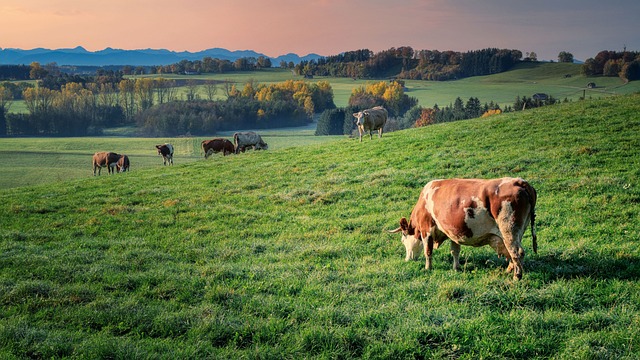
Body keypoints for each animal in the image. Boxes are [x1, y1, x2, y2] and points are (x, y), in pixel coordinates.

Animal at [388, 177, 536, 282]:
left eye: (403, 240)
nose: (407, 259)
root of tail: (519, 182)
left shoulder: (427, 229)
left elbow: (428, 251)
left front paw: (427, 268)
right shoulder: (453, 231)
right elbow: (455, 251)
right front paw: (456, 267)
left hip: (509, 229)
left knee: (516, 252)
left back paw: (517, 276)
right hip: (516, 232)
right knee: (511, 253)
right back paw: (509, 270)